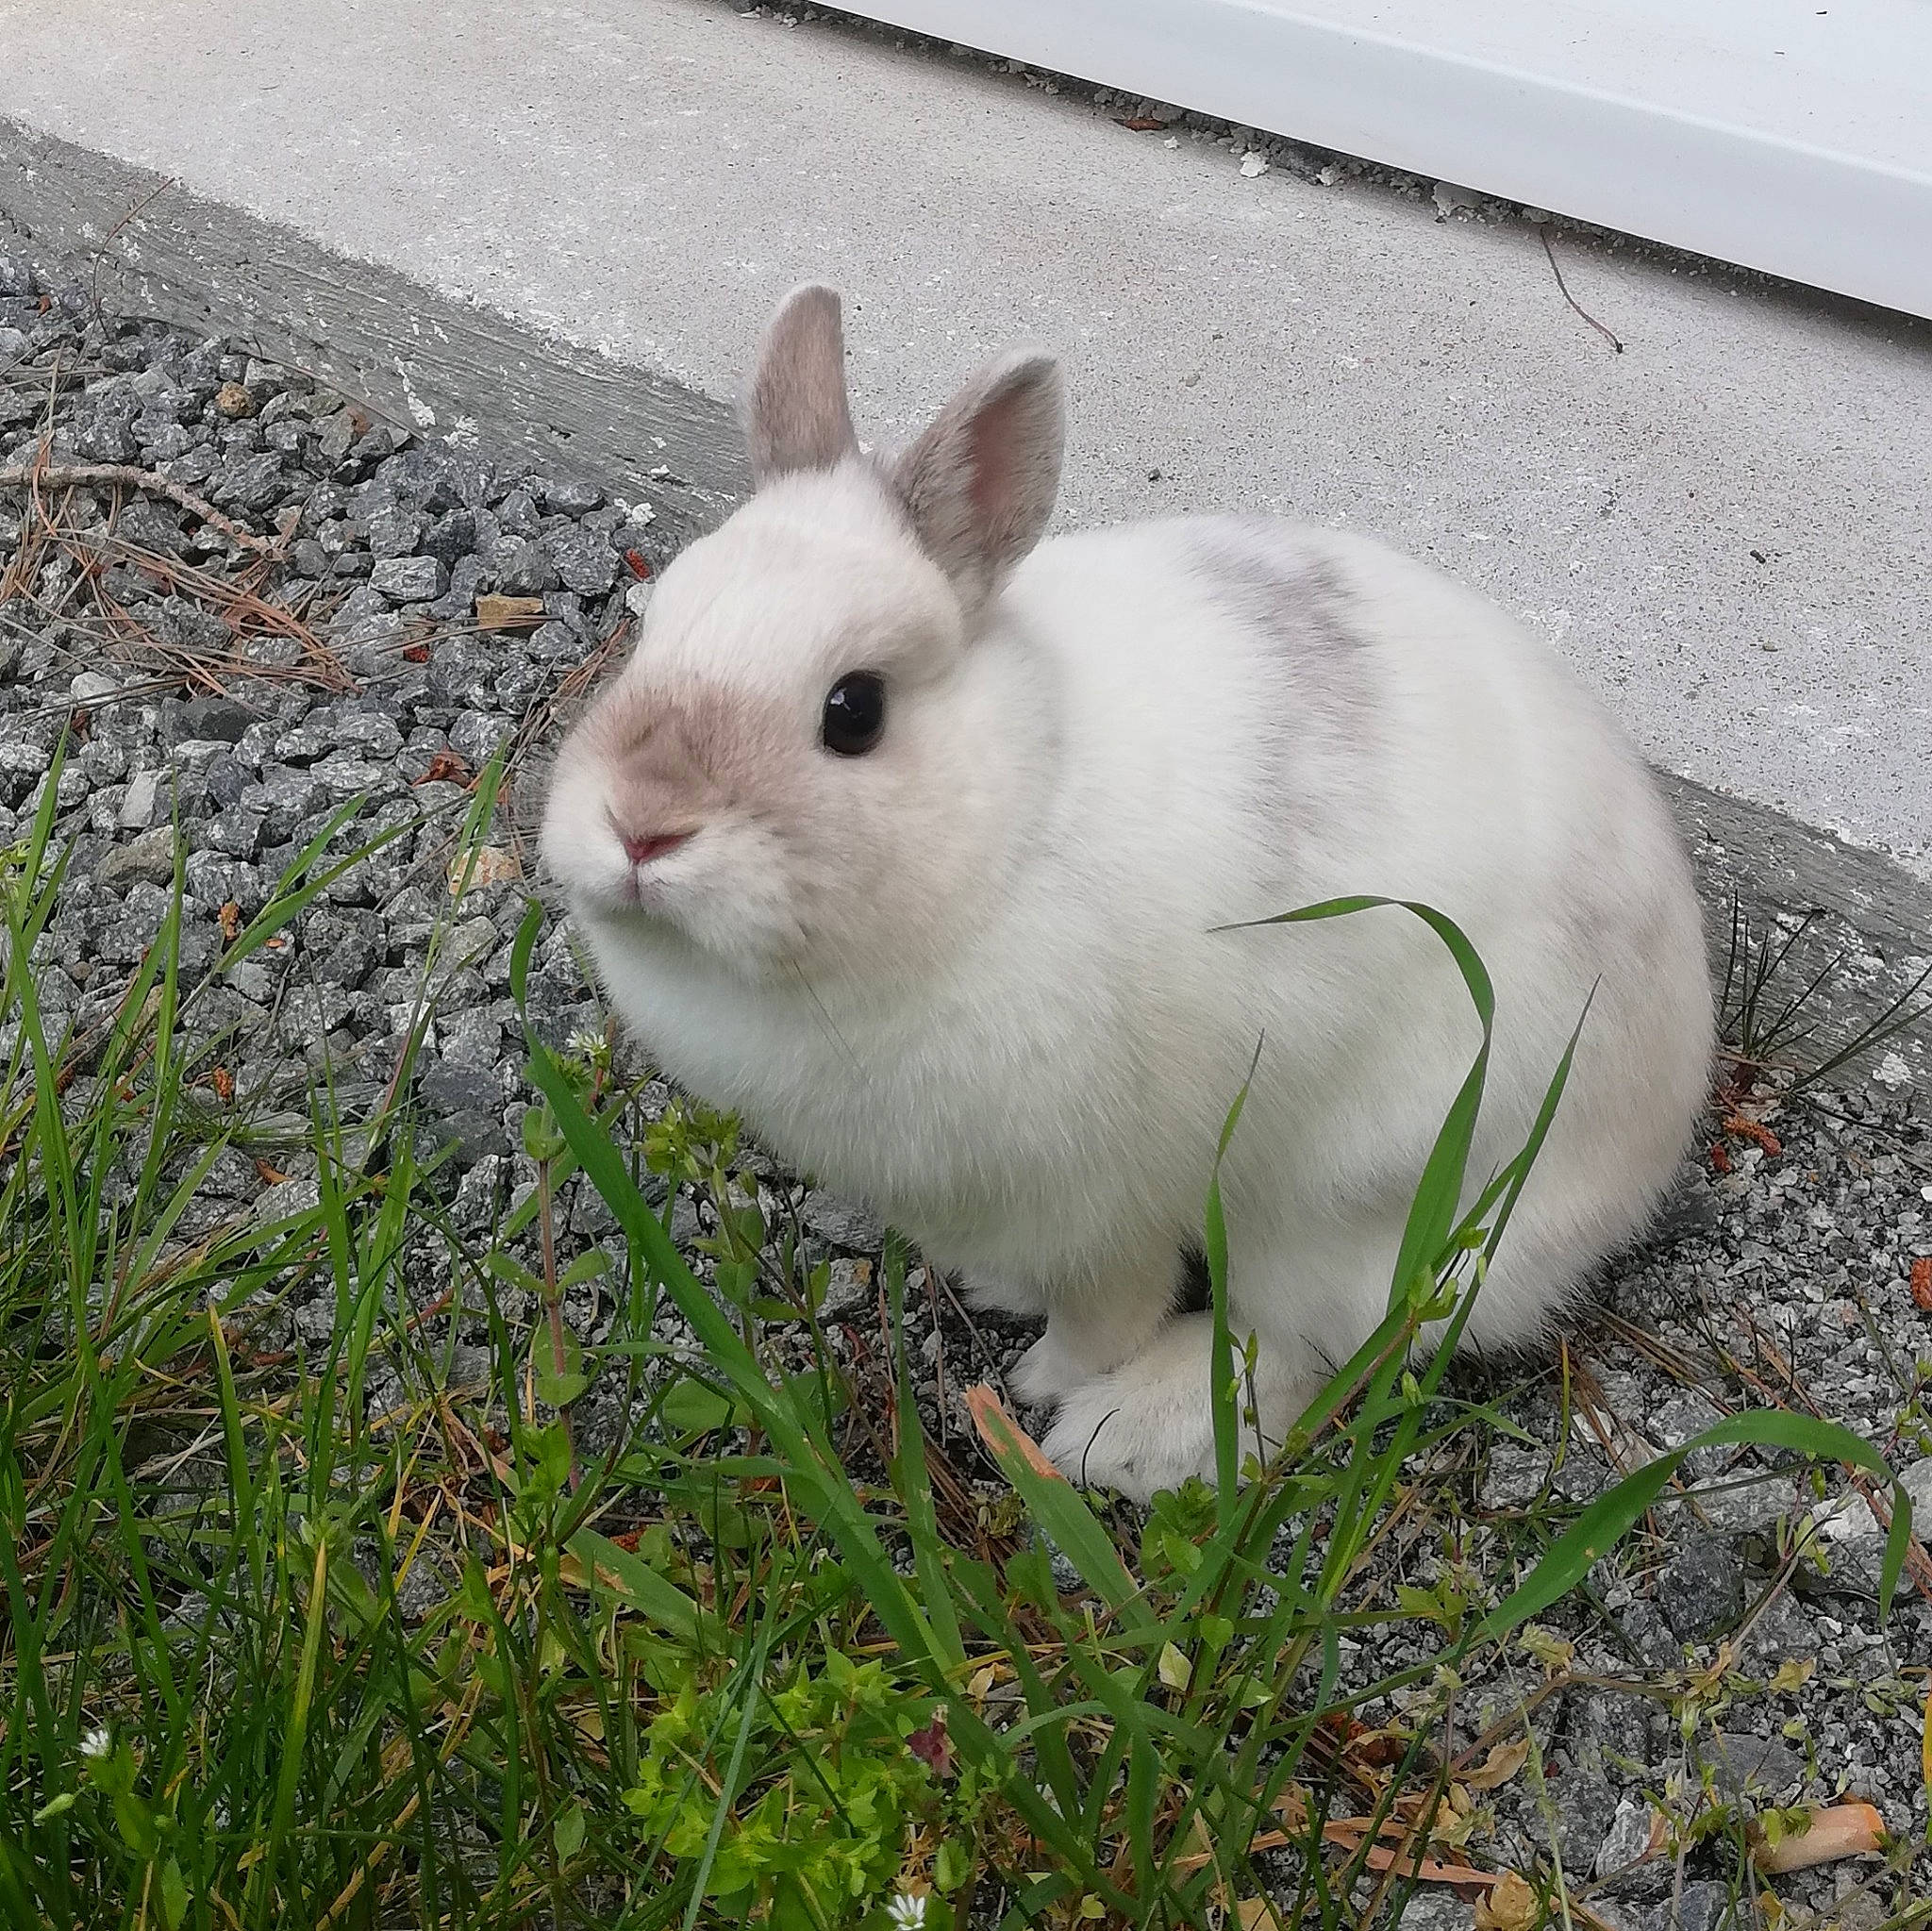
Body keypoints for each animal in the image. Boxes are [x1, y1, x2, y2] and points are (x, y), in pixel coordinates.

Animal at [540, 283, 1715, 1503]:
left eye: (852, 710)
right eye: (653, 627)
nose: (641, 825)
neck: (1016, 811)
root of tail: (1654, 1131)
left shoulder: (1093, 1206)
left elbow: (1108, 1308)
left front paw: (1045, 1379)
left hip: (1362, 1195)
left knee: (1299, 1340)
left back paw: (1125, 1437)